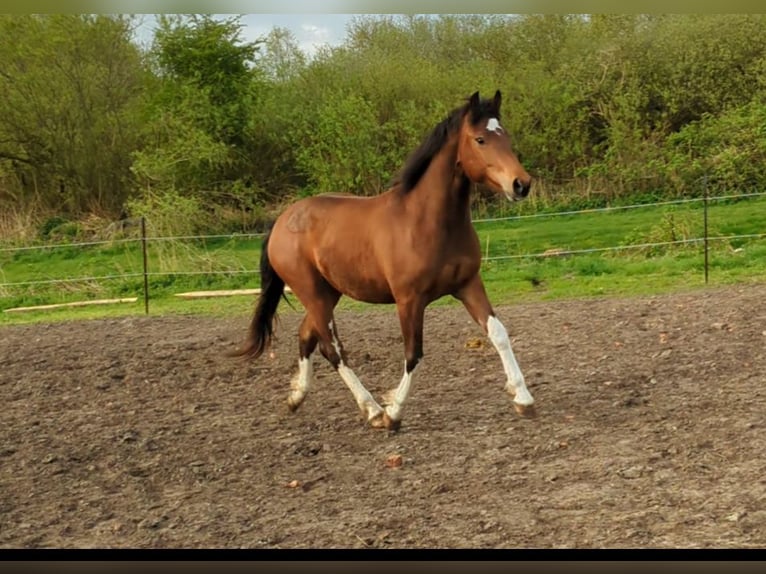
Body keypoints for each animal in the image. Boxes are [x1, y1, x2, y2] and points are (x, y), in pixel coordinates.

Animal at [237, 90, 536, 432]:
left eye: (506, 136)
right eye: (480, 139)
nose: (521, 184)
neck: (428, 222)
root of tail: (282, 220)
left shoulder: (468, 285)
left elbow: (498, 333)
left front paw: (523, 399)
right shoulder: (409, 300)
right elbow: (413, 353)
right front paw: (393, 412)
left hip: (327, 293)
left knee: (306, 336)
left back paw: (296, 397)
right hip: (312, 293)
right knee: (332, 349)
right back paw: (372, 410)